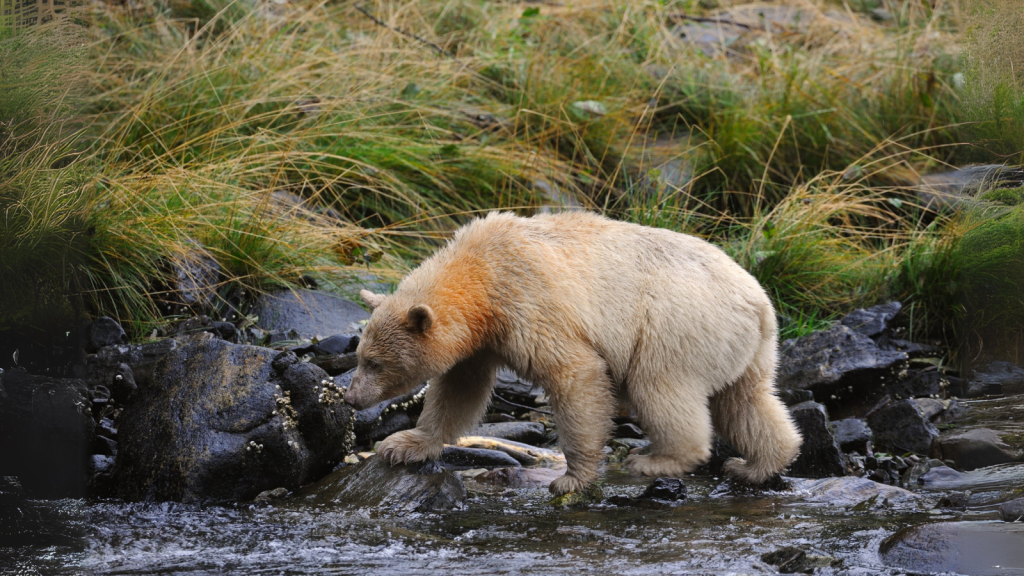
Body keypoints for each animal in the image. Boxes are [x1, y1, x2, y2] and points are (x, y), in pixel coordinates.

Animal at [348, 211, 802, 494]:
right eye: (359, 356)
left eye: (375, 363)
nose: (352, 398)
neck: (480, 275)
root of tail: (758, 304)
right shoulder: (482, 341)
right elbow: (460, 389)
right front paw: (403, 445)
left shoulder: (527, 301)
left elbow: (574, 375)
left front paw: (572, 477)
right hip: (744, 346)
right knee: (747, 400)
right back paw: (756, 464)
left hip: (673, 326)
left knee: (660, 389)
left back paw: (658, 460)